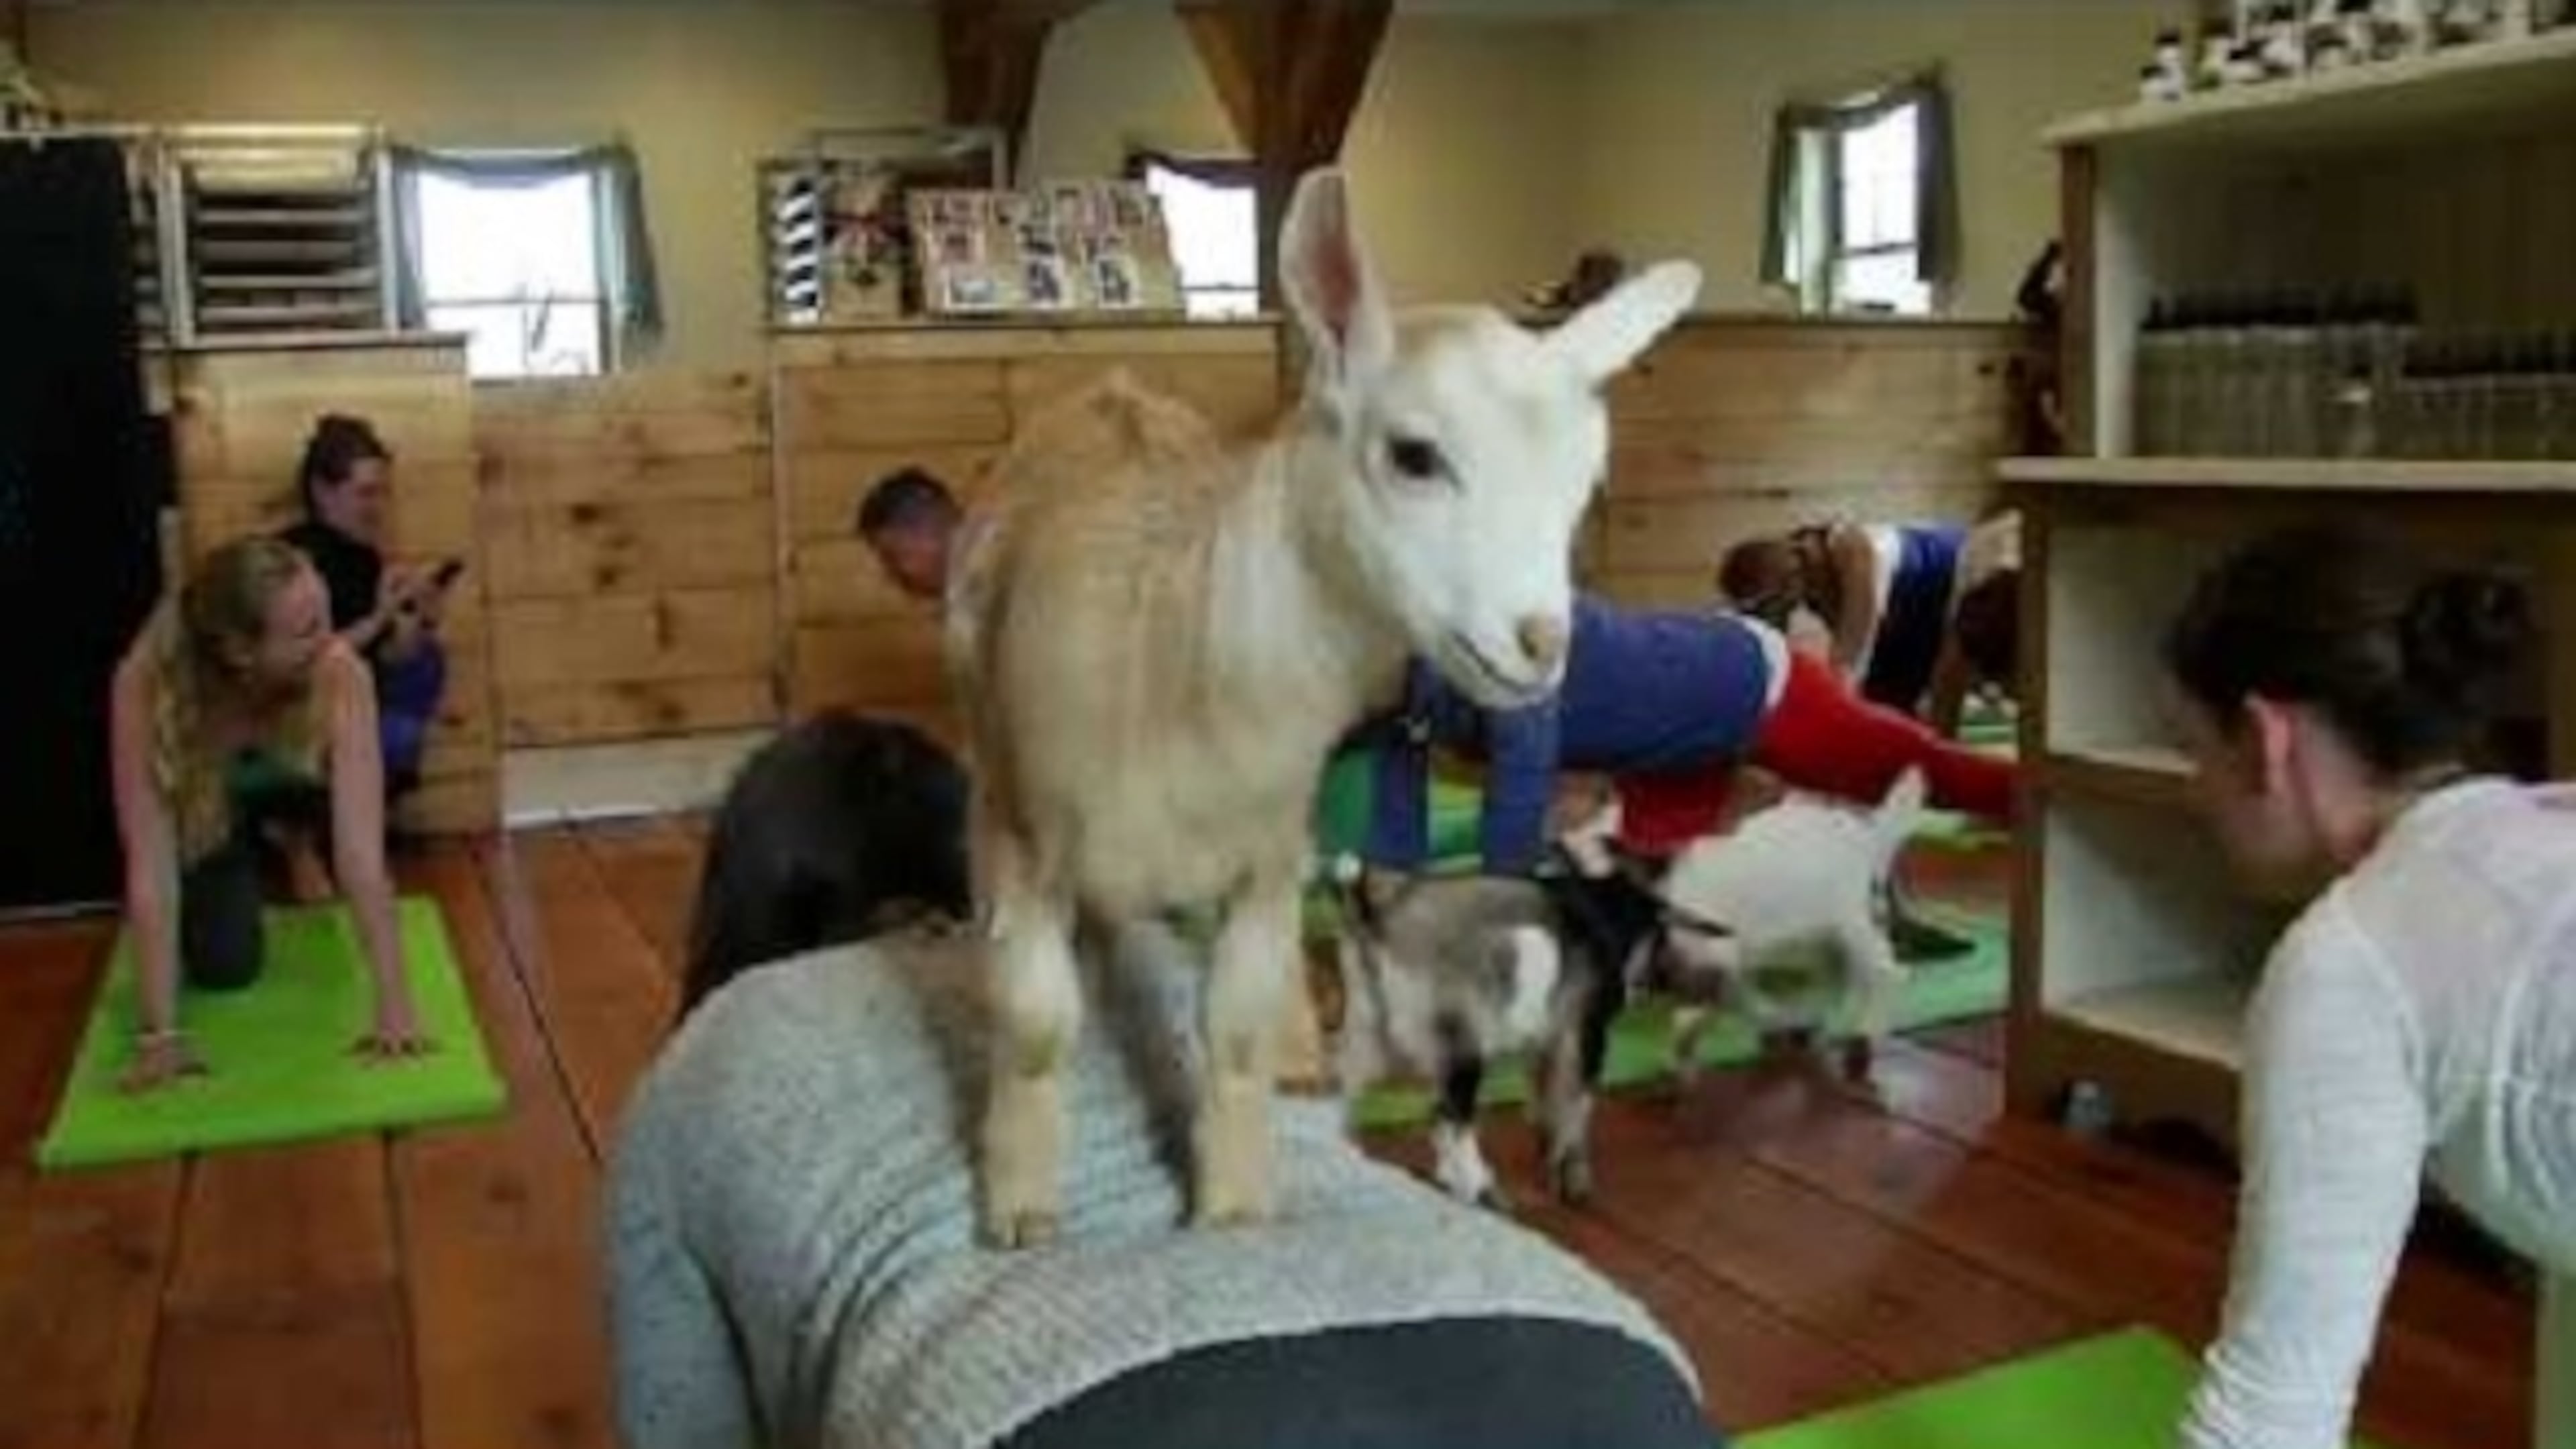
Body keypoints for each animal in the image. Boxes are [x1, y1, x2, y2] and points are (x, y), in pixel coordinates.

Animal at [948, 168, 1700, 1246]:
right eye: (1416, 454)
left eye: (1585, 482)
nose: (1542, 645)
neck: (1181, 649)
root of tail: (1116, 389)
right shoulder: (1013, 832)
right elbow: (1037, 1026)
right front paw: (1018, 1206)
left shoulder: (1260, 854)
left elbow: (1235, 1028)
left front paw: (1232, 1206)